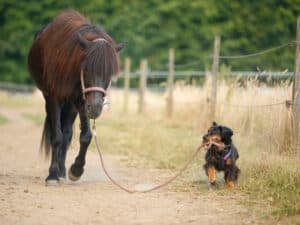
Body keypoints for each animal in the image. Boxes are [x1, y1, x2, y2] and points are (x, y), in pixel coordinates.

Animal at [27, 10, 125, 185]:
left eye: (109, 73)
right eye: (86, 69)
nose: (96, 108)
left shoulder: (82, 101)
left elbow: (85, 136)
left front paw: (76, 170)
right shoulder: (54, 97)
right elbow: (56, 136)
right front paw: (52, 175)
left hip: (72, 105)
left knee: (67, 133)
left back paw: (62, 170)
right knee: (58, 133)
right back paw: (57, 172)